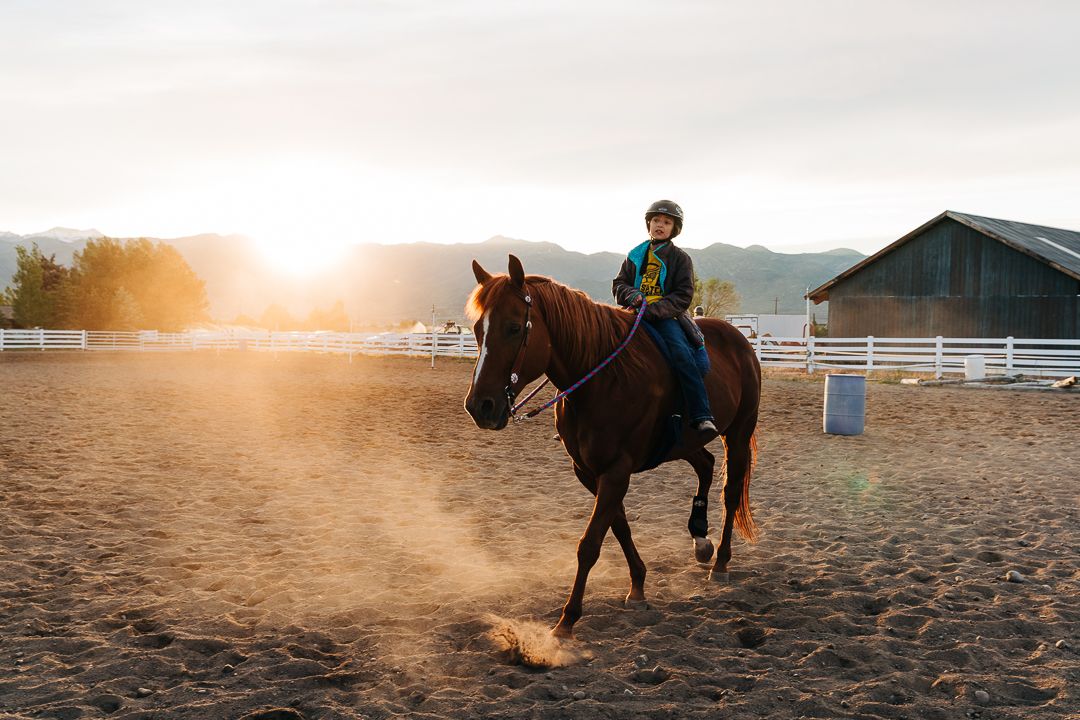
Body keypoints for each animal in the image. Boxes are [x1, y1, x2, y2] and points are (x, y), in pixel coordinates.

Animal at [463, 255, 761, 639]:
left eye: (514, 328)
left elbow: (590, 544)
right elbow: (618, 526)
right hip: (684, 441)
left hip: (738, 433)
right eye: (477, 329)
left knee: (731, 491)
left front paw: (567, 620)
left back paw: (721, 562)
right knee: (706, 464)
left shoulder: (616, 472)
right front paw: (637, 586)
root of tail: (739, 339)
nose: (479, 406)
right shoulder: (589, 472)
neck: (602, 379)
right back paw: (700, 540)